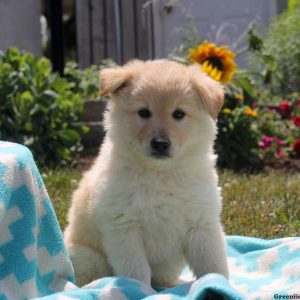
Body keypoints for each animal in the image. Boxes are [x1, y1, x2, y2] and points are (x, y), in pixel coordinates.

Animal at [63, 58, 227, 286]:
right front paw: (139, 290)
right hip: (90, 258)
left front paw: (221, 284)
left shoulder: (202, 223)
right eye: (143, 112)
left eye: (178, 114)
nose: (160, 144)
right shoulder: (124, 227)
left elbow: (213, 264)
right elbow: (136, 272)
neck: (161, 174)